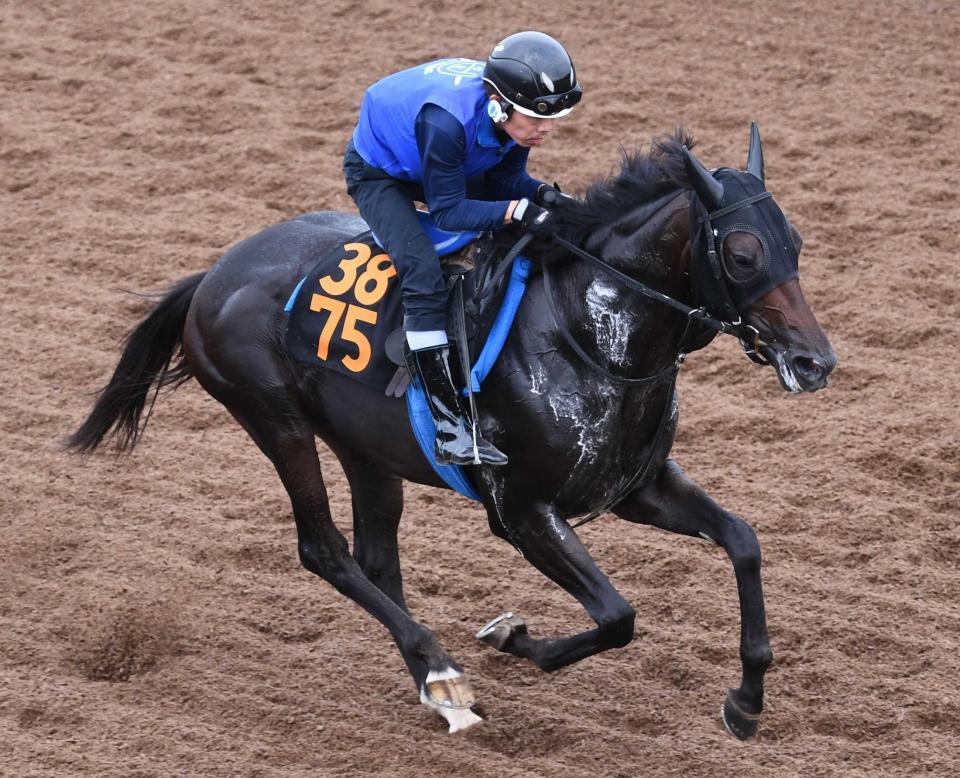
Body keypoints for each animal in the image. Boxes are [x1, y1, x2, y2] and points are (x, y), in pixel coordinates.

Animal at [69, 124, 832, 736]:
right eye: (741, 254)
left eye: (795, 243)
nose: (814, 361)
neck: (590, 334)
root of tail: (211, 276)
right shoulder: (521, 511)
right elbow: (618, 616)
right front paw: (511, 638)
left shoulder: (634, 488)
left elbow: (743, 541)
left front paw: (747, 702)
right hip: (274, 420)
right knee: (324, 549)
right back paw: (439, 671)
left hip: (363, 447)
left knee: (376, 556)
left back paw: (435, 686)